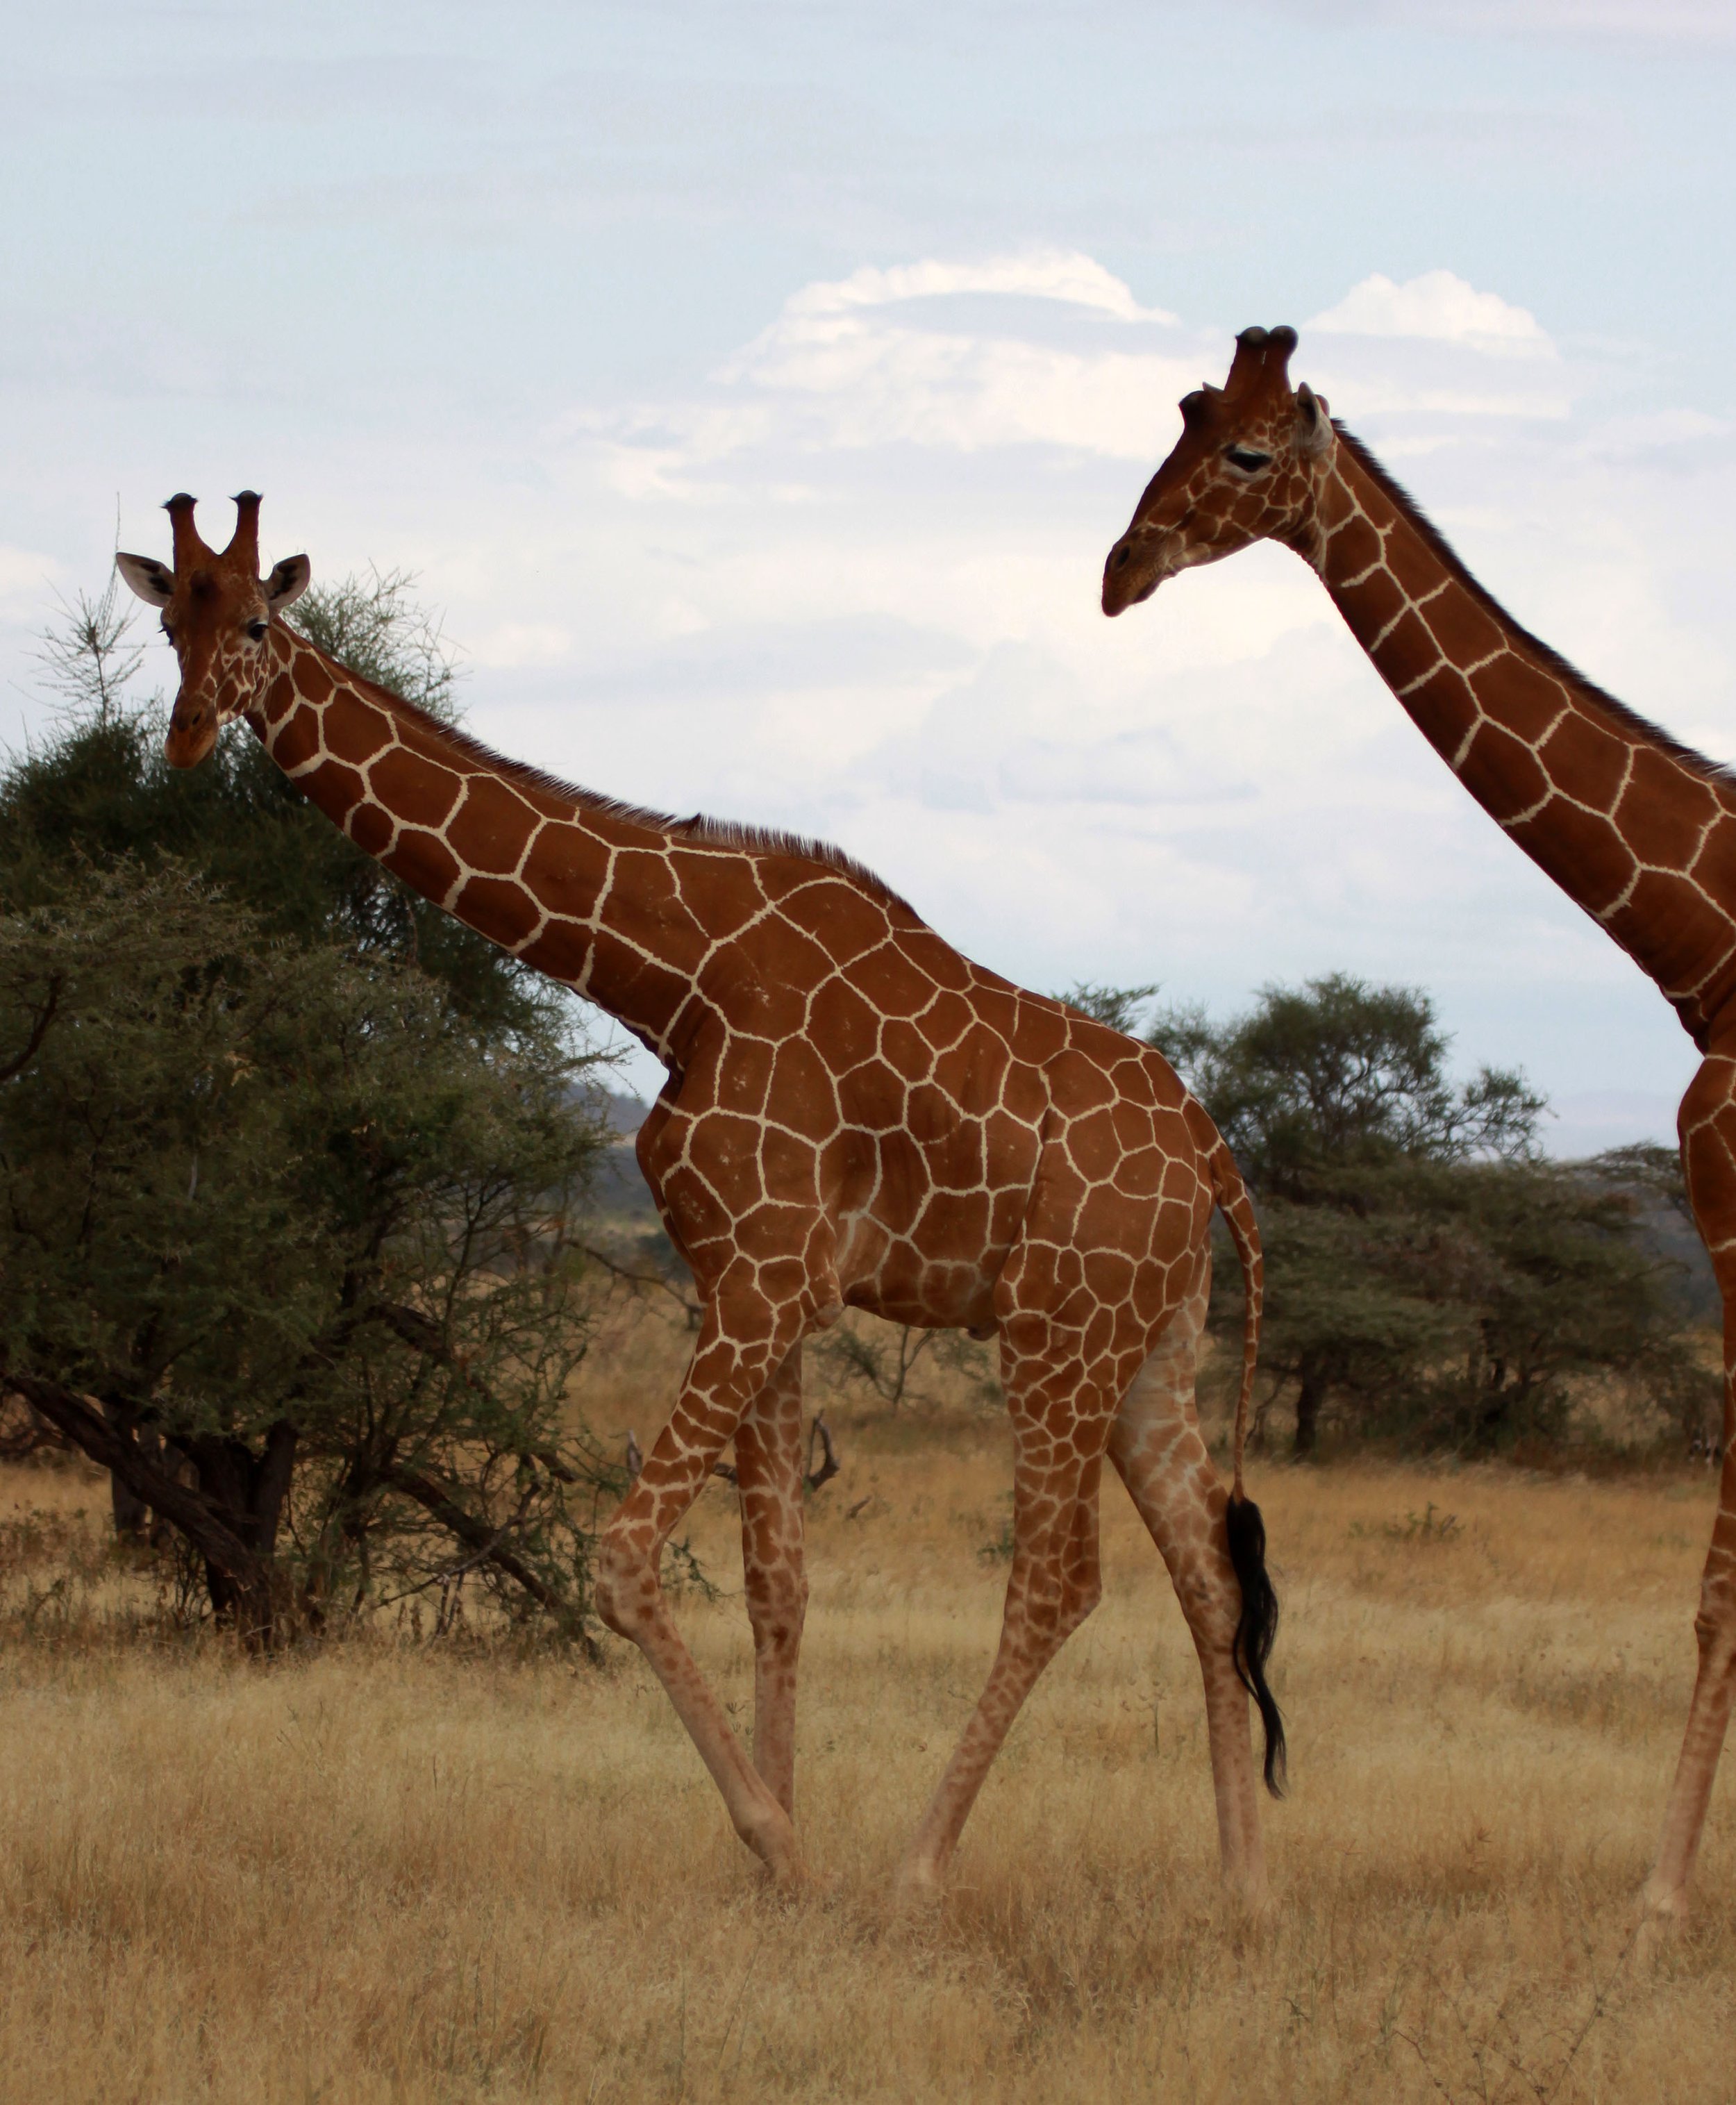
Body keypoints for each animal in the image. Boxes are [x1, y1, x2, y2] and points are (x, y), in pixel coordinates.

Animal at [115, 491, 1285, 1900]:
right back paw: (1241, 1886)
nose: (187, 732)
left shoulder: (764, 1275)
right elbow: (778, 1576)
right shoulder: (756, 1282)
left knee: (1059, 1580)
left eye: (257, 619)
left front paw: (780, 1839)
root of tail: (1213, 1153)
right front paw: (783, 1849)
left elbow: (625, 1558)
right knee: (1211, 1573)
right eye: (169, 623)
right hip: (1153, 1344)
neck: (677, 974)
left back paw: (919, 1868)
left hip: (1056, 1335)